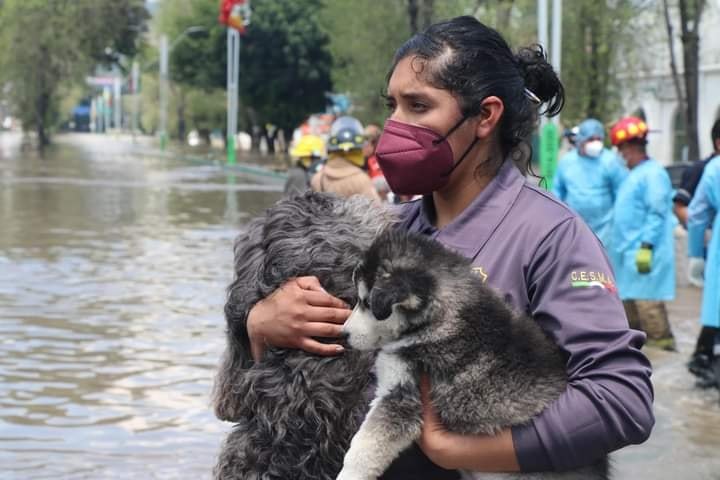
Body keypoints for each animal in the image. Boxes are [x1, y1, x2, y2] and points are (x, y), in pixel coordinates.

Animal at [340, 229, 612, 480]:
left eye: (366, 303)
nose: (342, 335)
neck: (439, 318)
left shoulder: (402, 395)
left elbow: (362, 448)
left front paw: (348, 473)